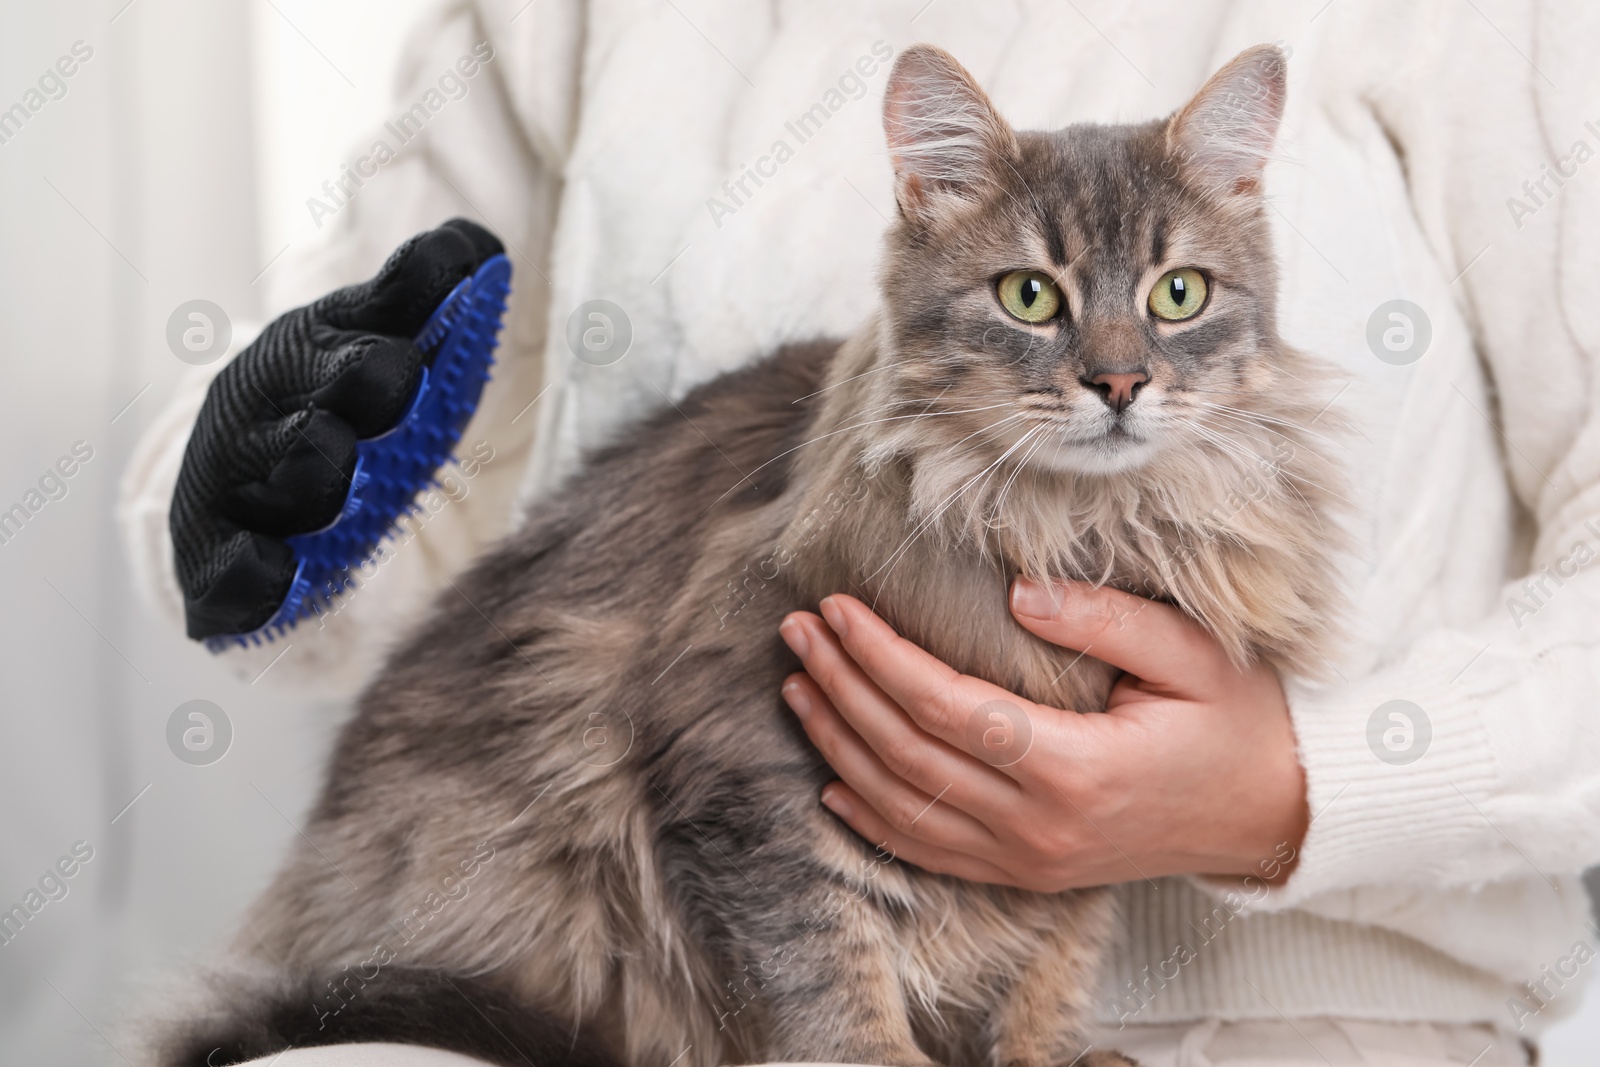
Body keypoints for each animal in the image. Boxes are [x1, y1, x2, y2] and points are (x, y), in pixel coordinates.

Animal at [147, 39, 1350, 1067]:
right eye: (1030, 296)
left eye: (1177, 294)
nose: (1118, 382)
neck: (1081, 528)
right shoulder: (749, 771)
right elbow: (831, 973)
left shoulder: (1077, 838)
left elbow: (1050, 966)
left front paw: (1052, 1054)